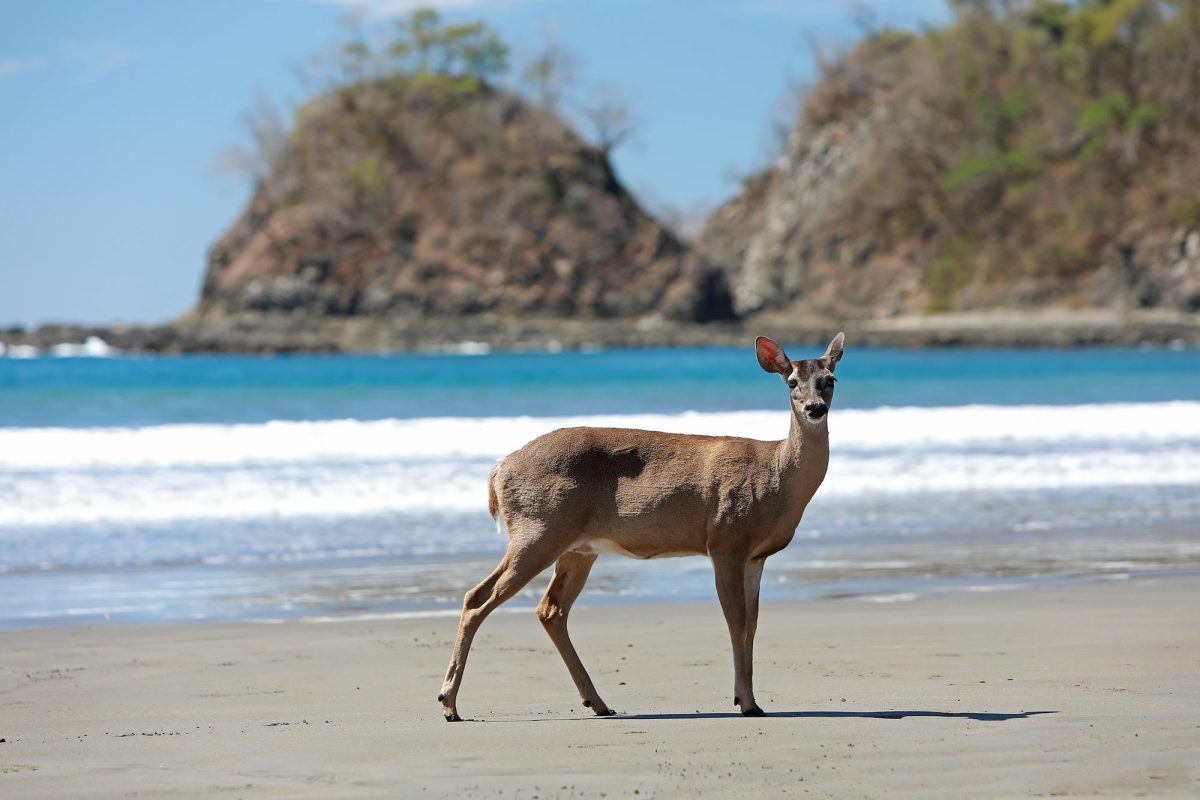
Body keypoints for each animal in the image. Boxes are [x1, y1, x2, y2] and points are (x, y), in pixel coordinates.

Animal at [437, 333, 844, 721]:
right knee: (478, 598)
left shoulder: (756, 556)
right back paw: (449, 704)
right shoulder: (725, 540)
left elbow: (753, 625)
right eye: (791, 381)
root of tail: (499, 468)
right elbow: (737, 622)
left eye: (830, 379)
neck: (776, 478)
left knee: (550, 609)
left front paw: (752, 700)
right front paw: (745, 701)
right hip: (538, 529)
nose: (815, 408)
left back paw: (598, 703)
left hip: (577, 547)